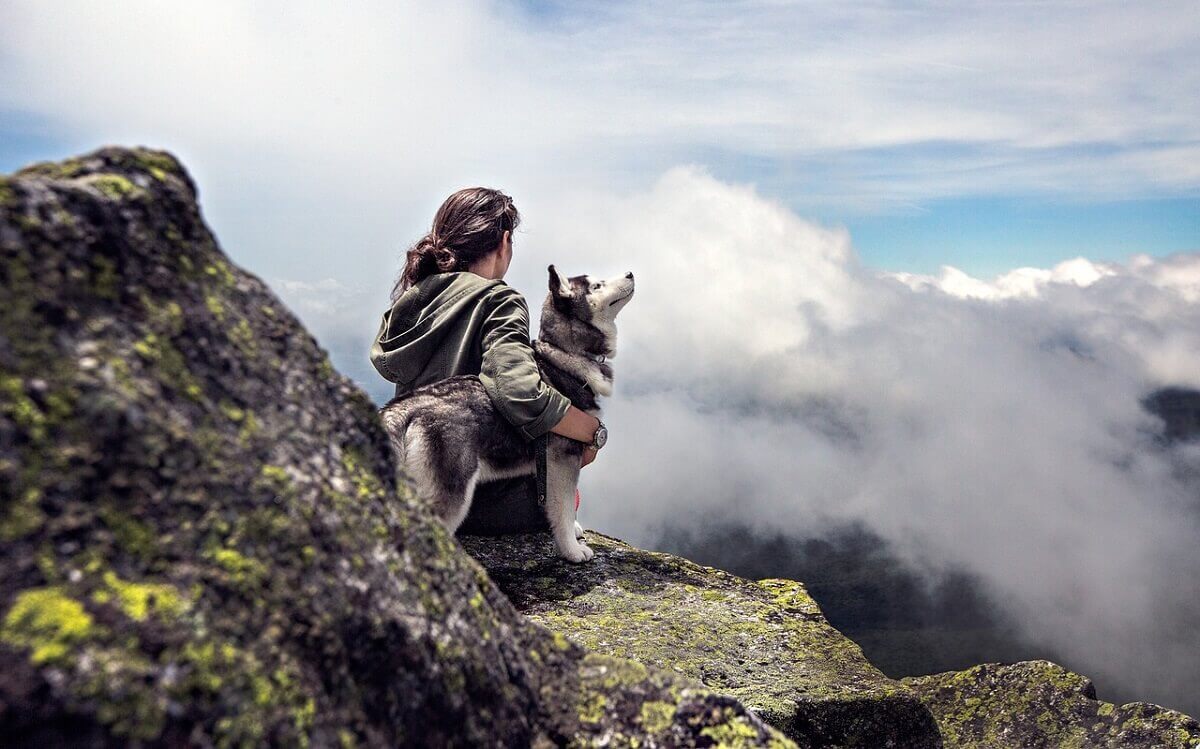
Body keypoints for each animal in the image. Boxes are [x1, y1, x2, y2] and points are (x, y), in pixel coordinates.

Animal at [379, 262, 633, 561]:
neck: (563, 355)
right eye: (596, 286)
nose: (630, 274)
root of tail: (405, 406)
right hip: (452, 492)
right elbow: (563, 507)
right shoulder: (563, 460)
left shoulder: (546, 468)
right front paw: (571, 550)